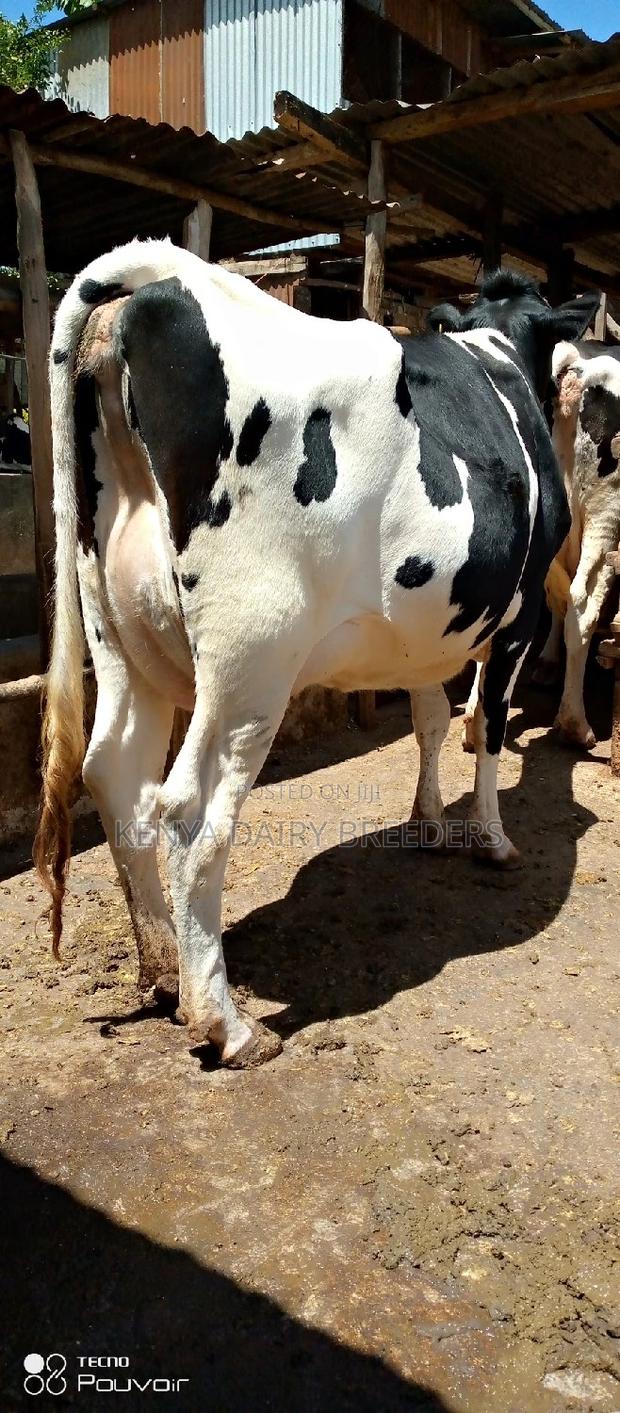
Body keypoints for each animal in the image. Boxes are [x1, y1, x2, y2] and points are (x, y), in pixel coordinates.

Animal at [34, 243, 598, 1068]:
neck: (500, 349)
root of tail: (163, 279)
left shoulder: (424, 633)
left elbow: (430, 719)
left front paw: (429, 819)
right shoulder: (519, 615)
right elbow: (487, 729)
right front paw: (491, 838)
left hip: (119, 632)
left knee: (114, 774)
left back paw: (165, 972)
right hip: (251, 660)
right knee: (187, 809)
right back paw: (226, 1023)